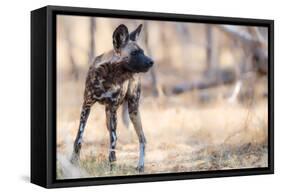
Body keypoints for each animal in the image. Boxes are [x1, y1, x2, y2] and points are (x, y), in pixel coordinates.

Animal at [70, 23, 153, 172]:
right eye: (134, 53)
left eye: (143, 52)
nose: (152, 62)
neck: (109, 76)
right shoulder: (87, 105)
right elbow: (79, 137)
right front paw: (73, 161)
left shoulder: (113, 109)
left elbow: (113, 140)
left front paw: (112, 167)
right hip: (109, 117)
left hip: (132, 111)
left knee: (142, 139)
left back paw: (140, 166)